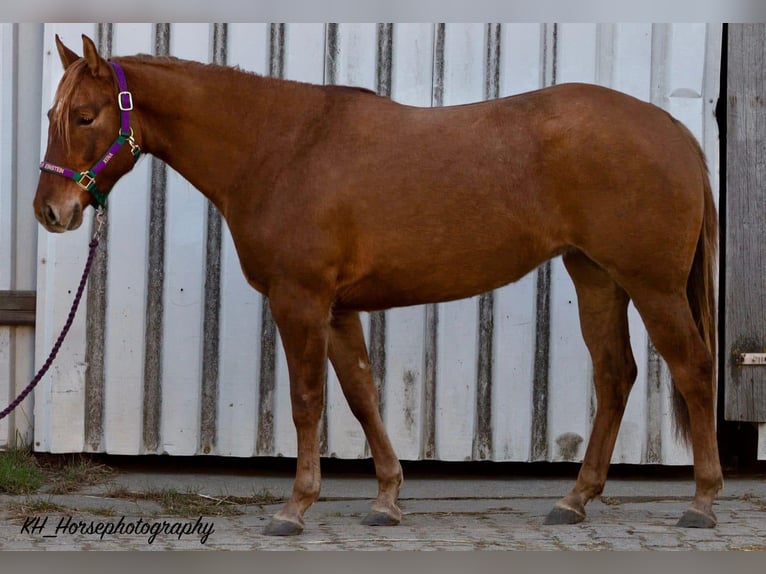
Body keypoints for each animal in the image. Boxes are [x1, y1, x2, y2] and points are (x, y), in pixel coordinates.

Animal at [34, 34, 722, 536]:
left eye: (85, 116)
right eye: (52, 114)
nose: (51, 211)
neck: (280, 148)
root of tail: (674, 130)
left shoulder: (301, 301)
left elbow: (307, 401)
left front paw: (295, 508)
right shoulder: (338, 310)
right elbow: (363, 395)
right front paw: (387, 500)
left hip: (653, 287)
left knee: (692, 368)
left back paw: (702, 502)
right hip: (597, 277)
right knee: (616, 375)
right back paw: (575, 500)